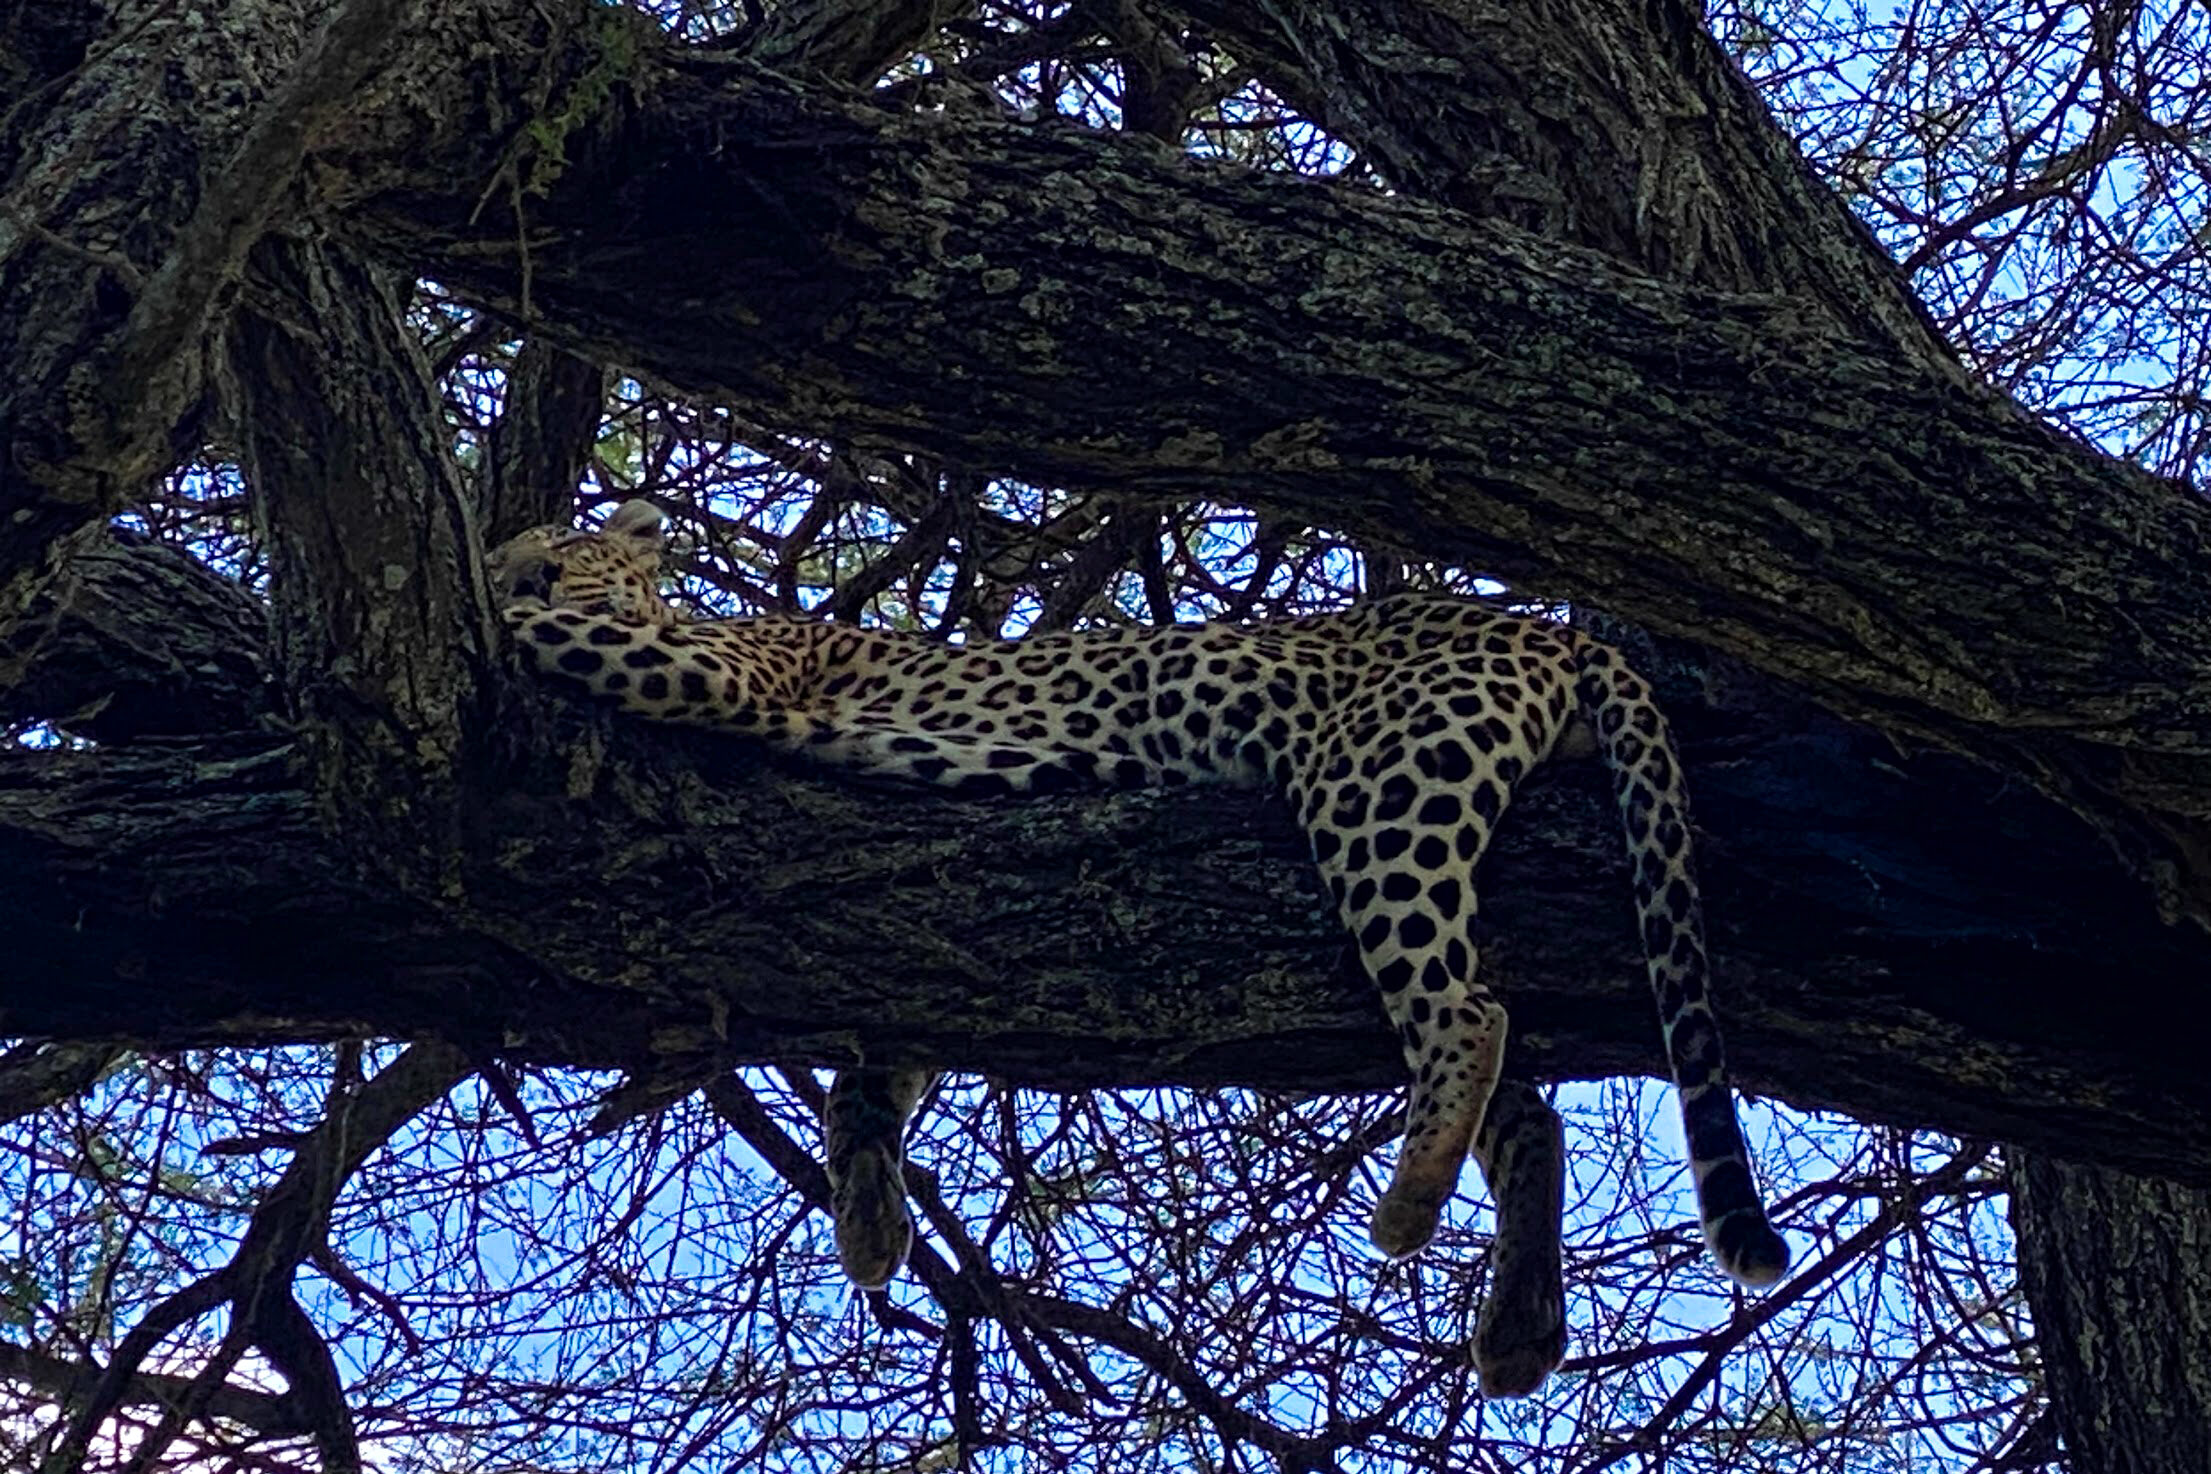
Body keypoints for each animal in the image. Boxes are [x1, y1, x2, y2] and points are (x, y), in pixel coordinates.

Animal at [493, 501, 1786, 1405]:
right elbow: (876, 1066)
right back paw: (1518, 1321)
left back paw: (1411, 1206)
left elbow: (558, 642)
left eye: (556, 553)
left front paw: (511, 616)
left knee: (1466, 1013)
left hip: (1382, 784)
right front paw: (868, 1219)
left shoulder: (716, 671)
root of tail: (1534, 621)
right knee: (1526, 1099)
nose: (517, 571)